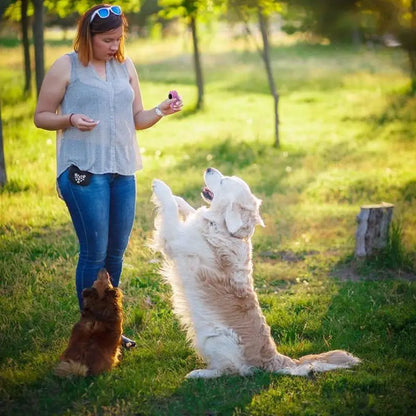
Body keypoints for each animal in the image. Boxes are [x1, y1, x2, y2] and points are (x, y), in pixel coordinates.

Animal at [150, 167, 360, 376]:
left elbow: (170, 208)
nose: (209, 168)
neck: (226, 230)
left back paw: (200, 374)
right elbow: (192, 210)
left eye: (223, 181)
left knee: (230, 370)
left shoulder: (174, 239)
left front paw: (161, 187)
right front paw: (179, 199)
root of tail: (276, 359)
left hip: (216, 339)